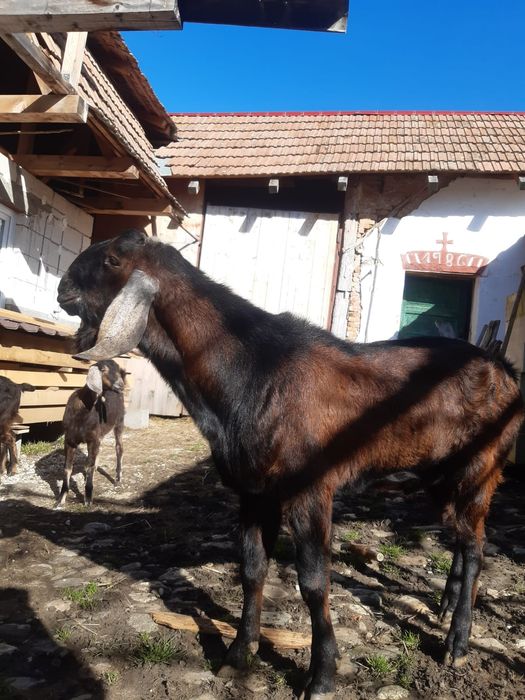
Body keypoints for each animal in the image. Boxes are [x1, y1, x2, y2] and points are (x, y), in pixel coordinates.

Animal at [57, 359, 125, 508]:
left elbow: (89, 466)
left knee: (119, 448)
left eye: (118, 368)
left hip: (119, 422)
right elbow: (67, 468)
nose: (121, 384)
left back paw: (117, 479)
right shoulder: (70, 439)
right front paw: (60, 500)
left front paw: (88, 499)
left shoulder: (92, 439)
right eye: (103, 369)